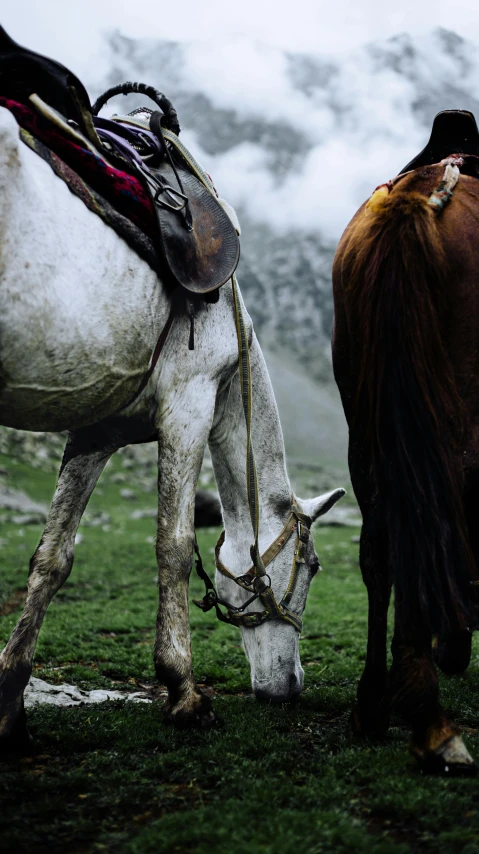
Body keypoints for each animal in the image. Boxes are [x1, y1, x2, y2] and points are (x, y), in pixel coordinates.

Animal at [0, 108, 344, 748]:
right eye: (311, 566)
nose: (290, 689)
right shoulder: (189, 406)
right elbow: (174, 548)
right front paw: (182, 690)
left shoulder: (95, 433)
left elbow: (52, 557)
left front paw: (10, 697)